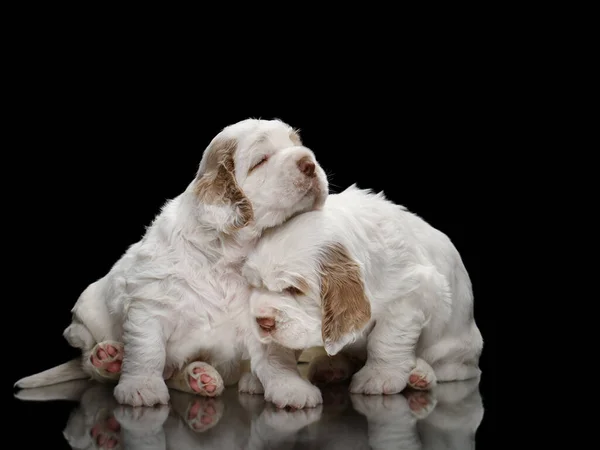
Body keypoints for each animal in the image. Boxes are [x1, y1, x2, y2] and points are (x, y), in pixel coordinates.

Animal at [14, 117, 330, 408]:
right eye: (261, 160)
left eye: (296, 144)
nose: (309, 163)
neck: (230, 256)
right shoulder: (149, 306)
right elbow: (147, 350)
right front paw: (141, 387)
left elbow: (276, 356)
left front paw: (291, 387)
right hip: (84, 315)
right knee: (90, 362)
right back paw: (109, 359)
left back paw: (207, 377)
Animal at [239, 185, 482, 402]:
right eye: (254, 285)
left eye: (294, 289)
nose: (262, 322)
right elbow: (275, 350)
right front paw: (283, 385)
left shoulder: (411, 295)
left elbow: (386, 338)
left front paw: (379, 377)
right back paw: (330, 367)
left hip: (454, 348)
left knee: (452, 368)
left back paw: (420, 374)